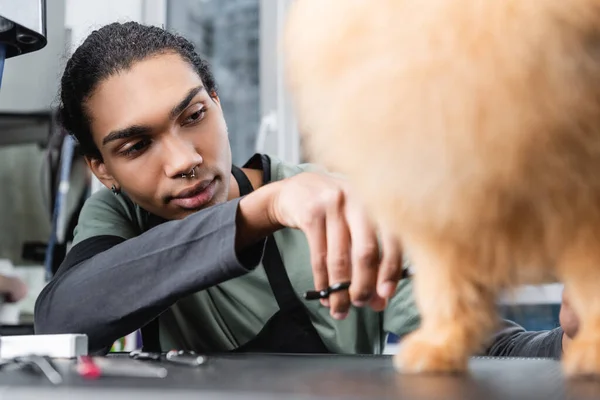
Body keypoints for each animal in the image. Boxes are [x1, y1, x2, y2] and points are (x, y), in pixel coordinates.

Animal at [284, 0, 600, 376]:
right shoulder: (439, 196)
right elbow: (444, 289)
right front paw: (439, 347)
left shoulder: (580, 200)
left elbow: (592, 284)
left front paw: (593, 350)